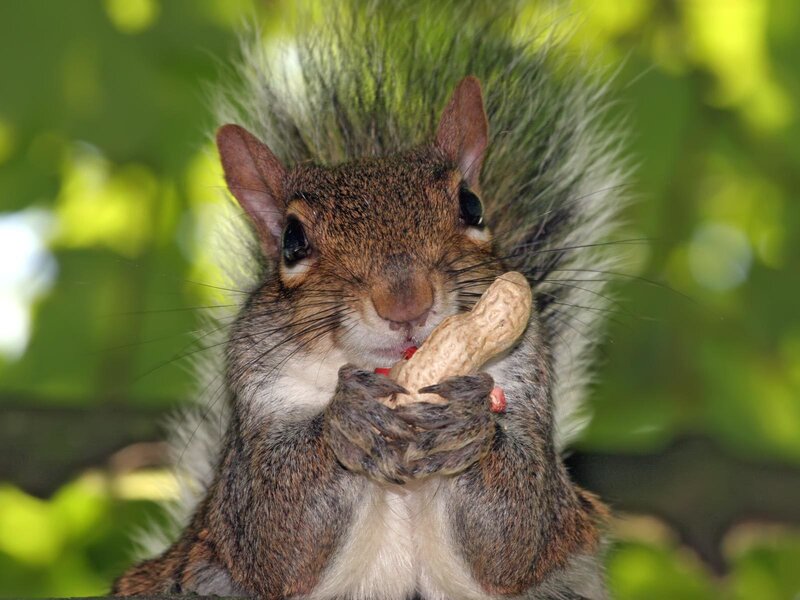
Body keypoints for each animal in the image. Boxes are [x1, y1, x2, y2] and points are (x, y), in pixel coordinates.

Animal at [112, 2, 627, 599]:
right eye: (292, 241)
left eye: (472, 206)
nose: (406, 302)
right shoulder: (254, 422)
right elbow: (274, 530)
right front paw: (348, 417)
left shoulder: (525, 384)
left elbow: (520, 530)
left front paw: (467, 419)